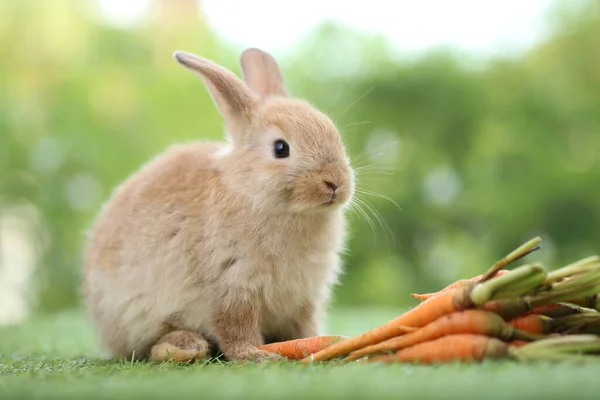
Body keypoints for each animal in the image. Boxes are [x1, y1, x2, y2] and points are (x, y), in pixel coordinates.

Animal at [82, 47, 354, 362]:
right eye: (280, 148)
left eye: (332, 131)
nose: (335, 183)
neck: (252, 192)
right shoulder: (233, 287)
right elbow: (236, 328)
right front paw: (256, 355)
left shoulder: (304, 297)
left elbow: (304, 327)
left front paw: (326, 344)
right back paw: (185, 346)